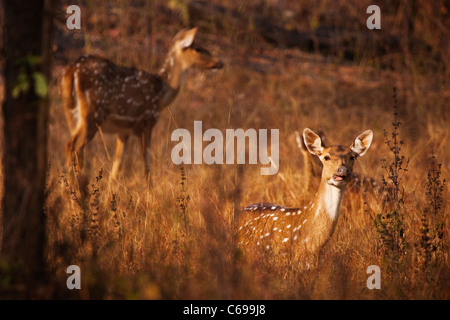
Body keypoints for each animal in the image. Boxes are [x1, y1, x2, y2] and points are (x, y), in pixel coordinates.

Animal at [62, 26, 224, 182]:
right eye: (198, 48)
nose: (220, 62)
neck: (161, 93)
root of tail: (73, 69)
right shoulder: (147, 121)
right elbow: (146, 162)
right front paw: (149, 190)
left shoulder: (124, 130)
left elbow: (117, 166)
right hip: (93, 113)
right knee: (74, 146)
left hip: (73, 114)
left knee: (73, 147)